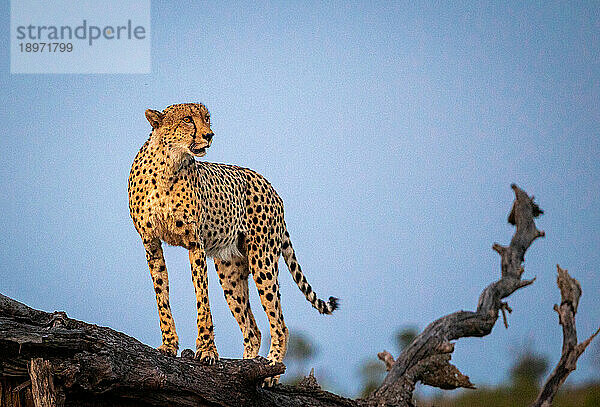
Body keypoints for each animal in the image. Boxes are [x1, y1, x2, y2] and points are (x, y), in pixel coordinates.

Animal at [127, 102, 338, 386]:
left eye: (206, 119)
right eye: (187, 119)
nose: (209, 135)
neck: (168, 163)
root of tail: (269, 184)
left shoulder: (195, 244)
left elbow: (202, 298)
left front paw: (206, 350)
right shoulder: (151, 243)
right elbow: (162, 295)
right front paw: (169, 345)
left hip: (262, 260)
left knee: (279, 325)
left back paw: (271, 371)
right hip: (231, 271)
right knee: (253, 329)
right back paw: (248, 369)